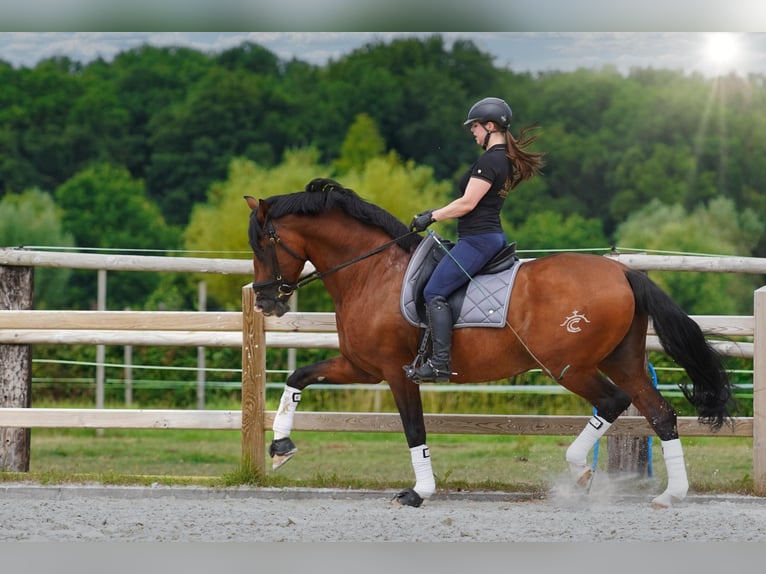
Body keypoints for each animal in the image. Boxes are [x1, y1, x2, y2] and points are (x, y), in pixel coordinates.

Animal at [248, 179, 736, 508]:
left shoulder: (396, 373)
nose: (266, 301)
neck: (372, 273)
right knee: (660, 412)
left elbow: (414, 430)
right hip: (623, 359)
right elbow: (298, 377)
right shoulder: (362, 367)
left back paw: (581, 472)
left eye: (262, 243)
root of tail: (623, 272)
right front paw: (281, 449)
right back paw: (670, 494)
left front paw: (419, 492)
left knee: (614, 401)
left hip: (569, 366)